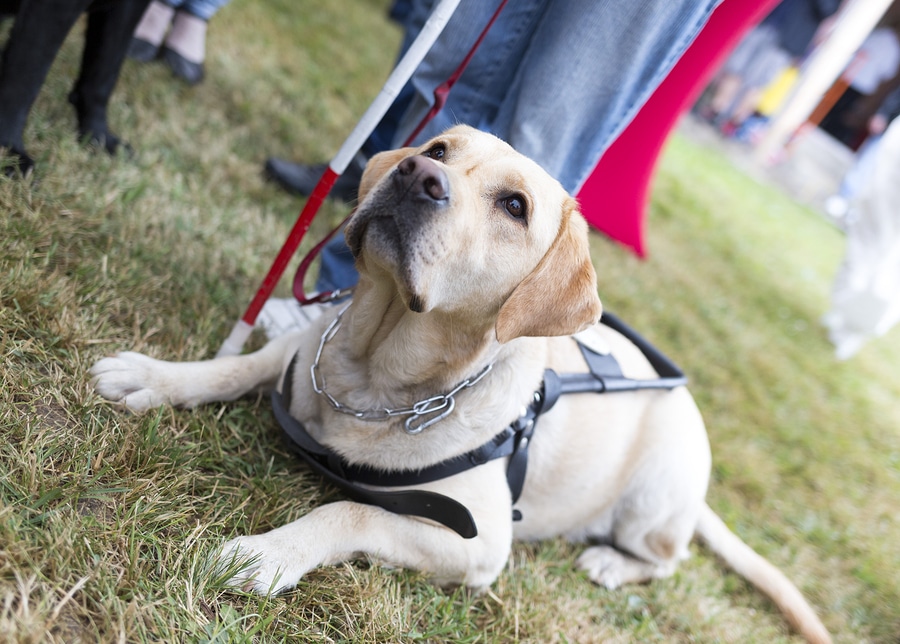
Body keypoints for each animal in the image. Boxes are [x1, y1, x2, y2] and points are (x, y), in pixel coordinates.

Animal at [89, 124, 828, 640]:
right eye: (439, 146)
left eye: (514, 206)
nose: (417, 172)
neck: (377, 376)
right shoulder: (307, 346)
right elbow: (235, 365)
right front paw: (151, 376)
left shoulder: (479, 545)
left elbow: (348, 510)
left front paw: (266, 555)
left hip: (655, 500)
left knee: (666, 558)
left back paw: (612, 563)